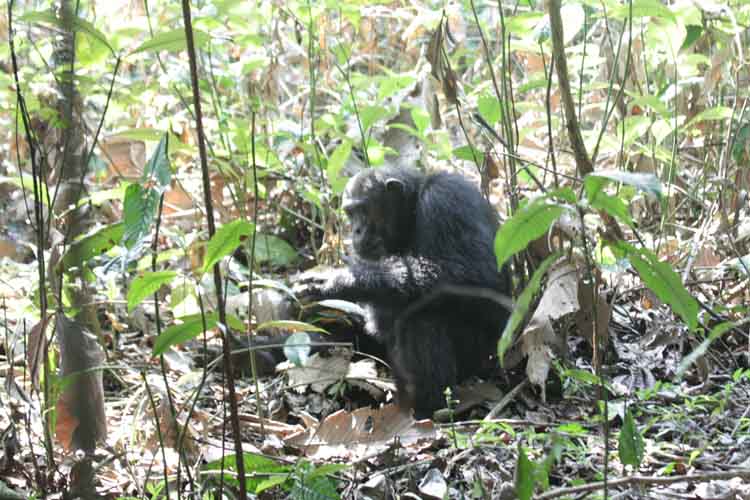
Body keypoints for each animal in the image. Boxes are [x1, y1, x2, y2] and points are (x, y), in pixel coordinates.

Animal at [295, 165, 511, 418]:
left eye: (363, 211)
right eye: (350, 213)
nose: (356, 230)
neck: (413, 210)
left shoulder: (446, 199)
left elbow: (475, 271)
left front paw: (340, 280)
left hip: (479, 356)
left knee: (422, 321)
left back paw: (428, 410)